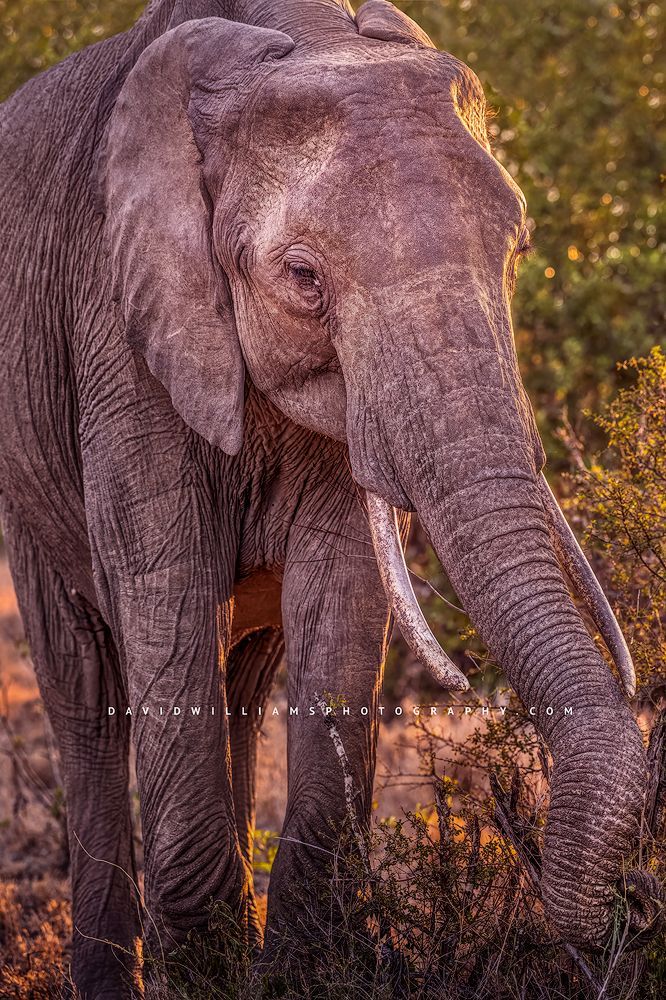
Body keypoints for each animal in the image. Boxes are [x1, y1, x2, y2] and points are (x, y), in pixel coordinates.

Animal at [0, 0, 659, 995]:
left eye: (518, 252)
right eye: (304, 280)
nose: (636, 908)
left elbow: (343, 604)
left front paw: (294, 975)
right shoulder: (118, 330)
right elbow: (164, 594)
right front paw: (209, 975)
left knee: (239, 681)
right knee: (85, 687)